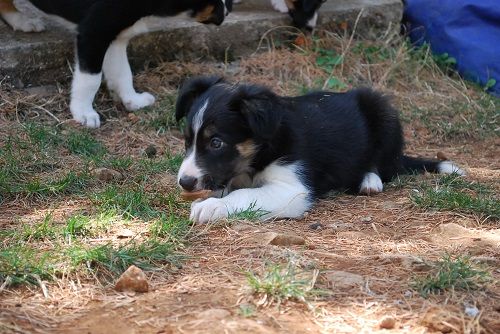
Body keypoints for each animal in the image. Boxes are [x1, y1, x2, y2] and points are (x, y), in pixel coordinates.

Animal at [0, 0, 234, 128]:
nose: (228, 10)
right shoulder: (94, 33)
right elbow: (90, 80)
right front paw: (84, 113)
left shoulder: (117, 37)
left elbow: (122, 73)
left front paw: (132, 100)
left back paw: (21, 20)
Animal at [175, 77, 464, 224]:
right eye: (187, 140)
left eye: (216, 142)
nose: (184, 183)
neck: (264, 148)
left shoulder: (292, 188)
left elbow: (245, 194)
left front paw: (211, 207)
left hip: (384, 113)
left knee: (385, 166)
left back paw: (369, 180)